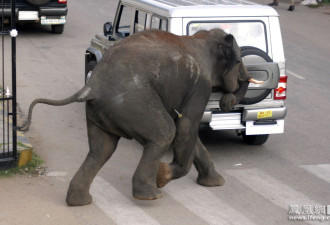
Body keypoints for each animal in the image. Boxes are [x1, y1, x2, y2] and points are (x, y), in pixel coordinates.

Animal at [19, 28, 262, 206]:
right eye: (239, 62)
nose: (225, 103)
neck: (200, 38)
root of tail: (92, 86)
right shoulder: (200, 85)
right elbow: (186, 126)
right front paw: (163, 176)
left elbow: (187, 131)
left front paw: (215, 183)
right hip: (134, 103)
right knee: (164, 133)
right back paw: (150, 194)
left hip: (101, 112)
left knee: (101, 149)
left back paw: (79, 201)